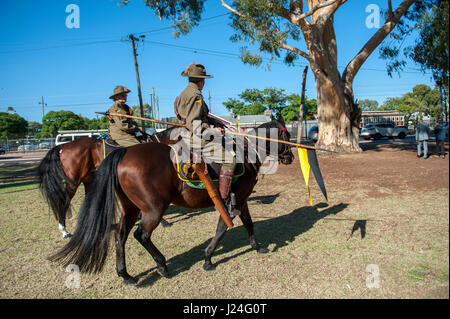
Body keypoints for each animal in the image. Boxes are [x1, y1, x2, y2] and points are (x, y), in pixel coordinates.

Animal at [36, 127, 179, 238]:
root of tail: (64, 146)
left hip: (88, 180)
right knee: (65, 201)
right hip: (73, 182)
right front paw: (163, 222)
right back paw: (64, 230)